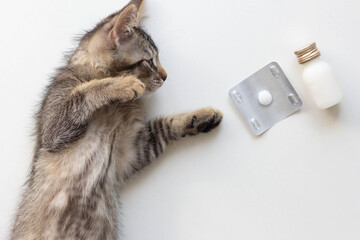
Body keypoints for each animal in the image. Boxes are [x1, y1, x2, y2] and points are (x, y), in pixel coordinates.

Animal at [10, 0, 222, 240]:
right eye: (150, 61)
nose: (166, 76)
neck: (115, 109)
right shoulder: (53, 128)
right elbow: (84, 92)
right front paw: (121, 84)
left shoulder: (132, 151)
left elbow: (164, 126)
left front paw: (202, 117)